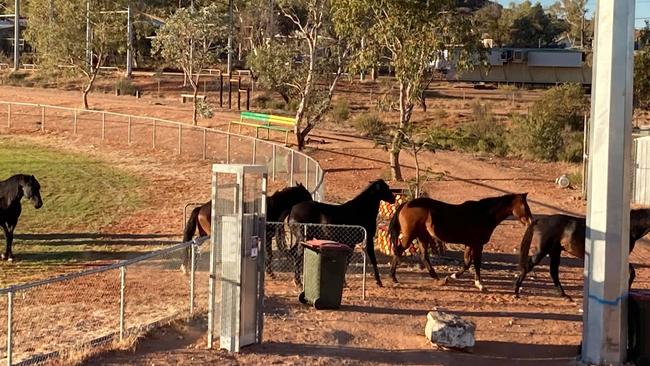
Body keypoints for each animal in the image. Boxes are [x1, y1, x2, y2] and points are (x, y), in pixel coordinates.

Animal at [181, 184, 312, 276]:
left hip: (204, 234)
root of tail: (201, 207)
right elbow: (269, 255)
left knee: (193, 242)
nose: (311, 203)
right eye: (306, 194)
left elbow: (268, 254)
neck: (272, 207)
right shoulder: (267, 237)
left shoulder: (268, 237)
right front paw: (270, 273)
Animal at [384, 193, 532, 290]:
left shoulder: (470, 244)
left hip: (422, 237)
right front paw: (480, 284)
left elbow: (467, 263)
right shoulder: (477, 245)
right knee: (399, 251)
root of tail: (406, 204)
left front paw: (452, 276)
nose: (530, 222)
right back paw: (393, 278)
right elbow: (476, 263)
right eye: (524, 206)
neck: (483, 214)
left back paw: (439, 279)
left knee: (423, 257)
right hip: (410, 236)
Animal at [512, 209, 648, 300]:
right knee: (529, 265)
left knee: (553, 272)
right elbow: (630, 272)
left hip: (555, 251)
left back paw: (564, 295)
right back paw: (516, 291)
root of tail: (542, 220)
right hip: (543, 250)